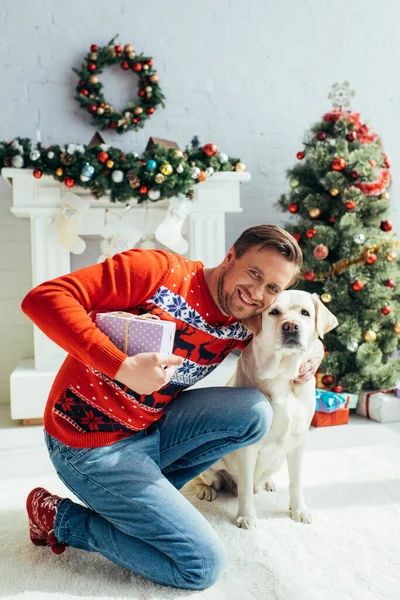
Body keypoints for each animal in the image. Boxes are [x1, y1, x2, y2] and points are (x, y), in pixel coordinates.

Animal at [190, 290, 338, 528]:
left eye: (305, 313)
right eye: (274, 312)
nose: (291, 326)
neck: (283, 377)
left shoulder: (299, 441)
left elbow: (296, 481)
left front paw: (299, 510)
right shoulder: (248, 448)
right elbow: (245, 488)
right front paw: (246, 516)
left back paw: (268, 483)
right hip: (210, 467)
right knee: (202, 478)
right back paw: (205, 489)